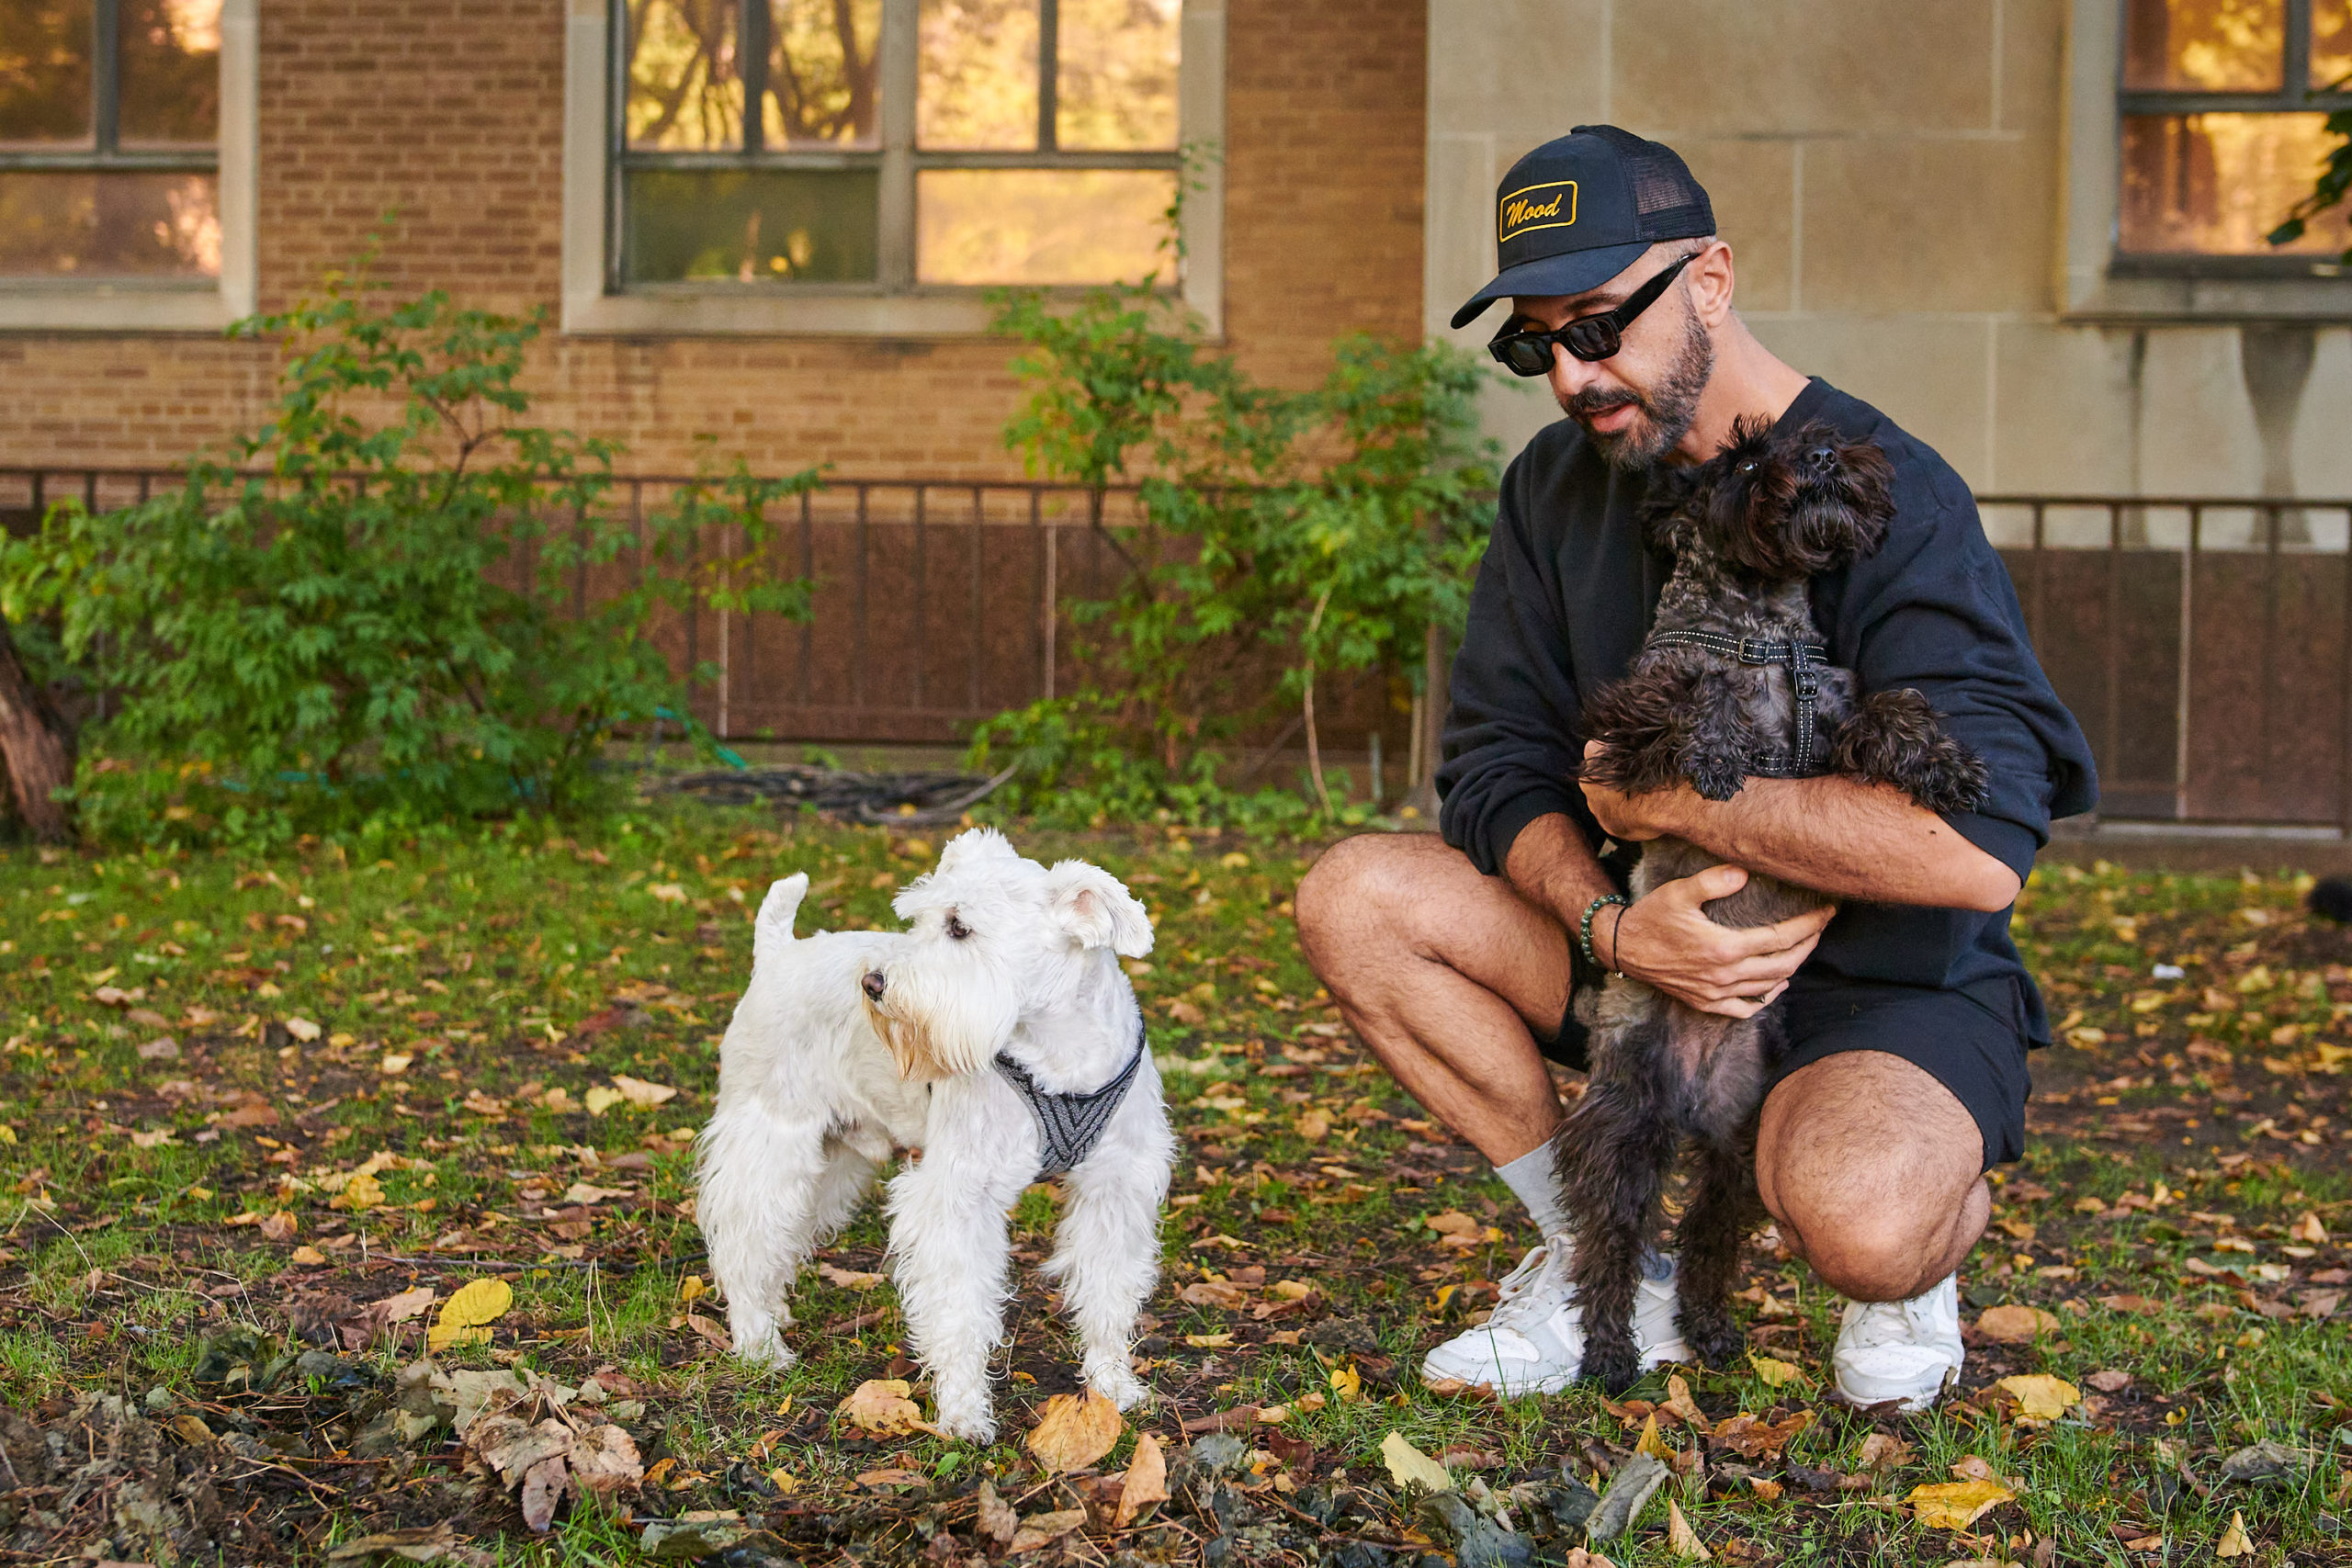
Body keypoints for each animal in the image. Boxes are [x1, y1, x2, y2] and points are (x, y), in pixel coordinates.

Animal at [695, 827, 1176, 1438]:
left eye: (959, 927)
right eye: (919, 919)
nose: (872, 982)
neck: (1057, 1053)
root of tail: (778, 953)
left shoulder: (1115, 1187)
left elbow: (1107, 1293)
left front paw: (1113, 1385)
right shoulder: (959, 1194)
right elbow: (959, 1308)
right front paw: (963, 1411)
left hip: (834, 1159)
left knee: (780, 1236)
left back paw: (774, 1309)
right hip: (772, 1142)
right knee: (744, 1240)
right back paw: (759, 1342)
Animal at [1552, 421, 1994, 1401]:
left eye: (1805, 441)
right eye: (1747, 461)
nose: (1824, 460)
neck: (1763, 634)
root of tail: (1688, 1096)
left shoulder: (1831, 731)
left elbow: (1888, 704)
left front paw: (1943, 761)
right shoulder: (1622, 729)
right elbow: (1689, 697)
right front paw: (1717, 752)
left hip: (1737, 1154)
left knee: (1706, 1239)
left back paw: (1713, 1333)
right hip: (1620, 1129)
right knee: (1611, 1244)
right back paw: (1609, 1353)